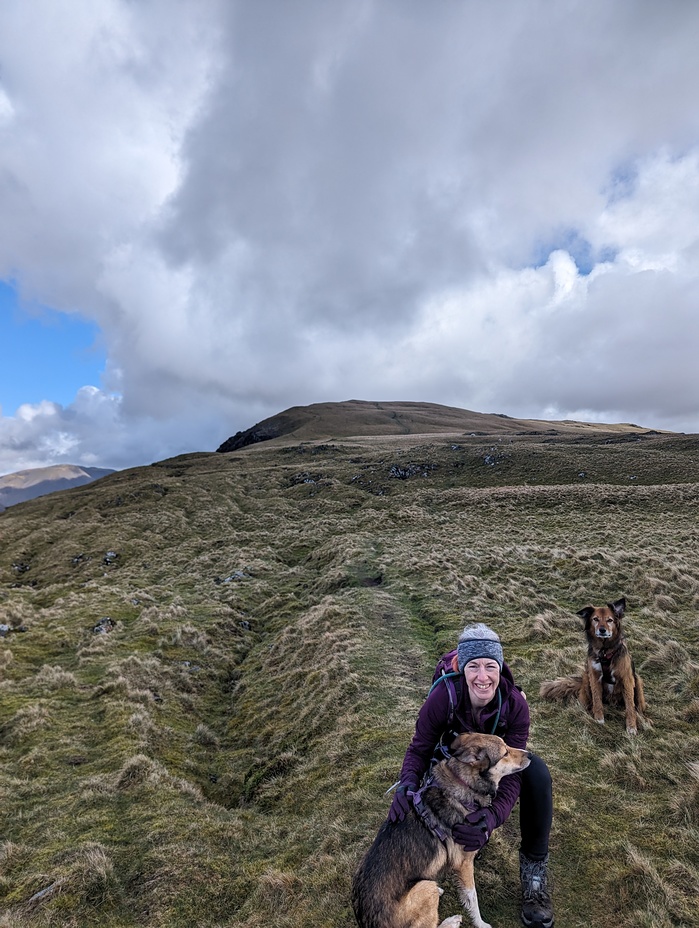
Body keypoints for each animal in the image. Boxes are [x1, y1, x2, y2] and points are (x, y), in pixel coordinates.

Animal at [350, 732, 532, 928]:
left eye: (507, 744)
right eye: (505, 753)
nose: (530, 754)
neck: (464, 785)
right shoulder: (464, 864)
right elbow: (472, 898)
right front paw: (480, 923)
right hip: (425, 886)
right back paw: (452, 920)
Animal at [540, 600, 652, 736]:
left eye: (610, 620)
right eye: (595, 619)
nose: (602, 630)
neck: (604, 651)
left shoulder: (627, 678)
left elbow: (630, 705)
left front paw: (631, 727)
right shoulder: (594, 676)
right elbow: (597, 700)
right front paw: (598, 719)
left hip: (638, 681)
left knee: (638, 707)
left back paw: (643, 718)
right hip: (586, 678)